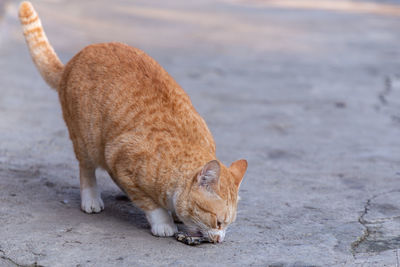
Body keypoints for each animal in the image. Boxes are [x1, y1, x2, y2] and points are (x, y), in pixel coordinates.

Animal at [20, 1, 248, 243]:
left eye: (228, 224)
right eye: (218, 222)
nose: (219, 239)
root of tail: (72, 61)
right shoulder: (121, 161)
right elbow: (149, 203)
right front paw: (164, 223)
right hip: (86, 140)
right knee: (86, 168)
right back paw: (91, 199)